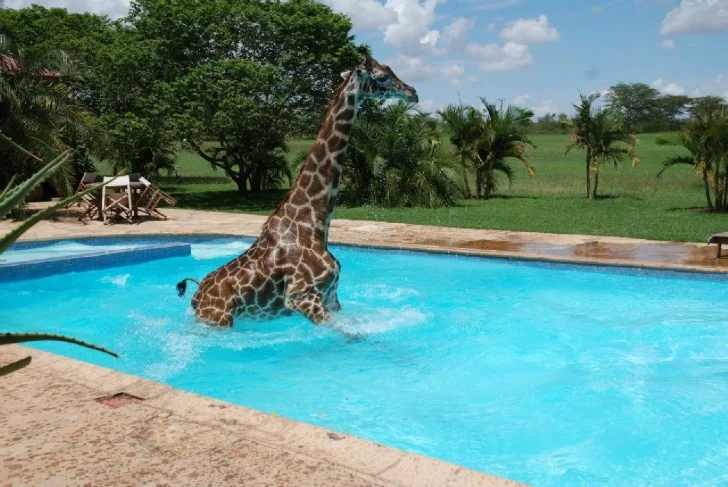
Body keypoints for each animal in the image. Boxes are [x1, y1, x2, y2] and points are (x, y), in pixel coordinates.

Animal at [177, 50, 418, 327]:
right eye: (382, 77)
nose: (413, 92)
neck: (314, 222)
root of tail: (196, 294)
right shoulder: (303, 296)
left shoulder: (331, 297)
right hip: (219, 320)